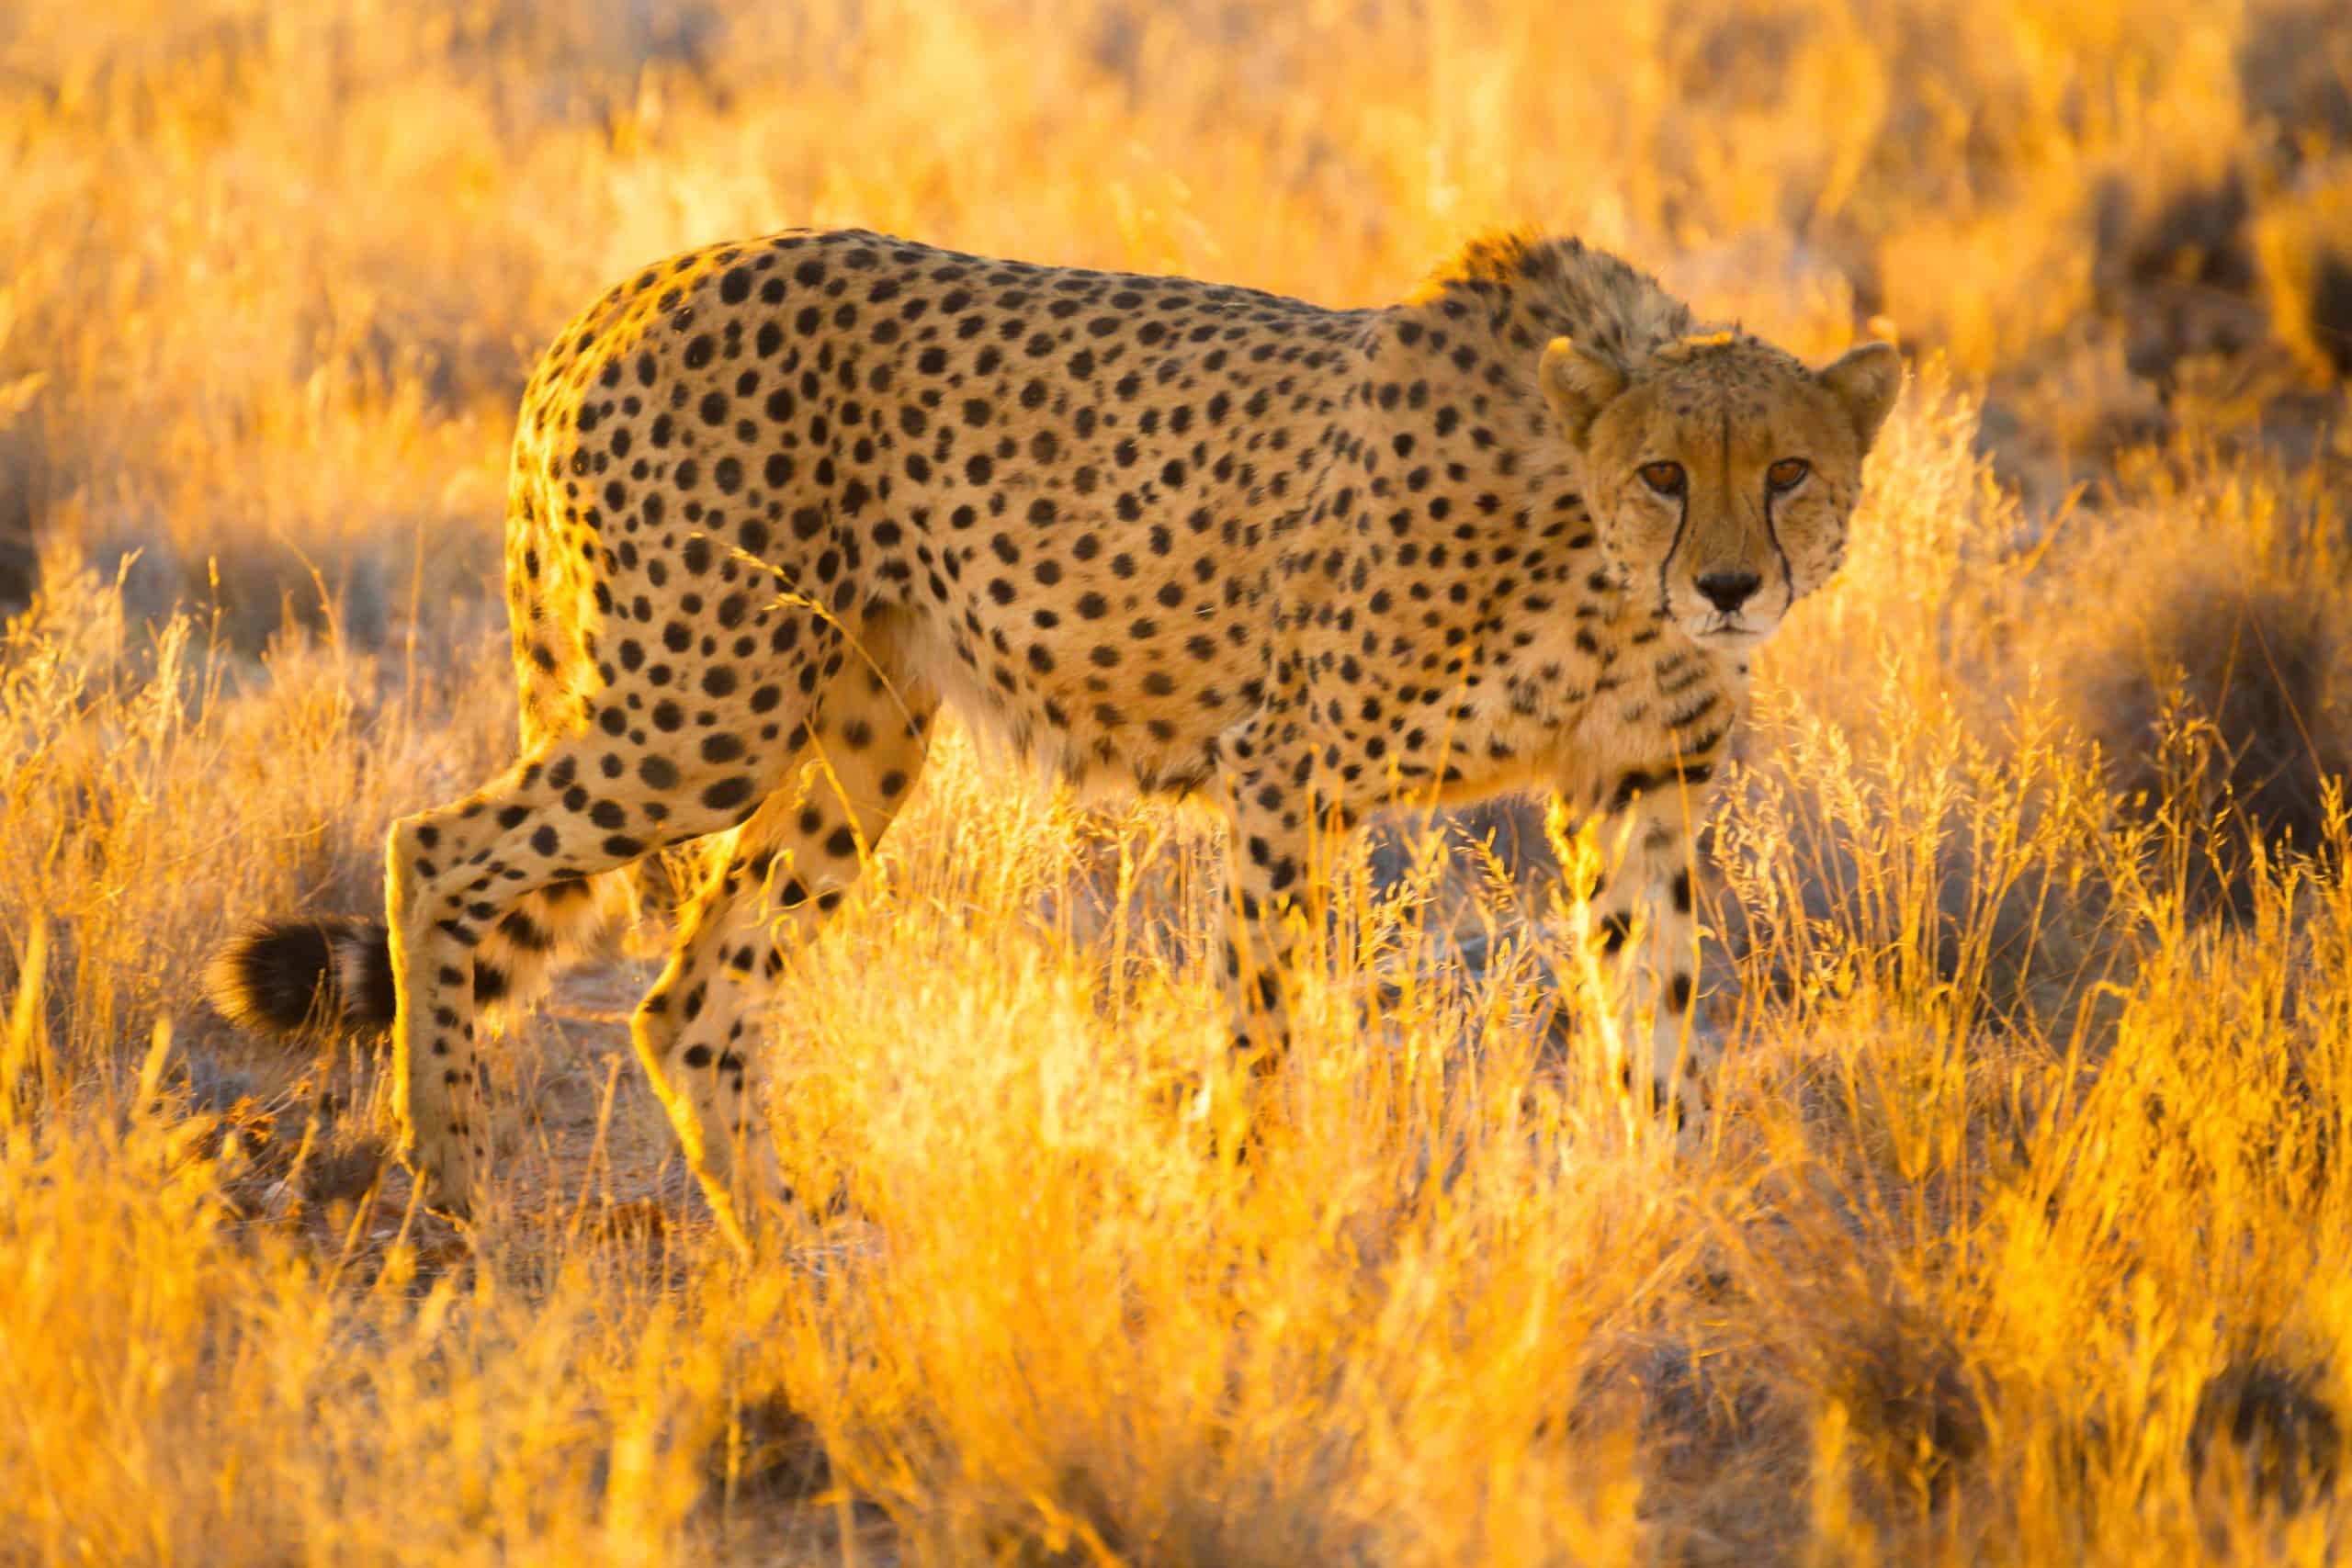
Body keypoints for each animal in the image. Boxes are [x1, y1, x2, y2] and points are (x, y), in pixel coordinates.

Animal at [208, 226, 1902, 1247]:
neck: (1589, 551)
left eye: (1791, 471)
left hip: (858, 735)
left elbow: (1662, 1013)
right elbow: (1264, 1018)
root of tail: (639, 281)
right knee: (440, 848)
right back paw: (452, 1185)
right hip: (705, 707)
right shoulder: (1289, 768)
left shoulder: (1632, 789)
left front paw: (1675, 1219)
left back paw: (791, 1255)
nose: (1733, 584)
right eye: (1669, 473)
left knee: (693, 997)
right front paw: (1242, 1211)